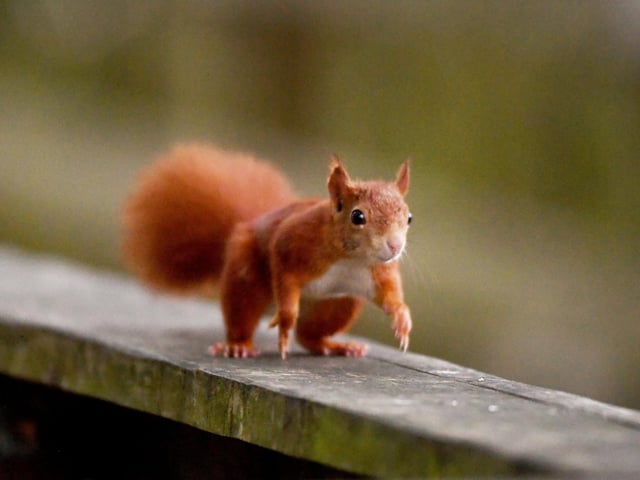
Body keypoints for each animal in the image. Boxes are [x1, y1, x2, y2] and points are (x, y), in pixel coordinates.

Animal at [121, 143, 412, 359]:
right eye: (358, 216)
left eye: (409, 218)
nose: (395, 246)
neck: (351, 258)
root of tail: (245, 225)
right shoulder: (291, 244)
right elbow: (284, 278)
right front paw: (284, 321)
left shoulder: (378, 271)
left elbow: (390, 295)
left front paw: (402, 317)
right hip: (246, 277)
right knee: (243, 313)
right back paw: (238, 346)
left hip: (339, 304)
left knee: (308, 335)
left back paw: (335, 345)